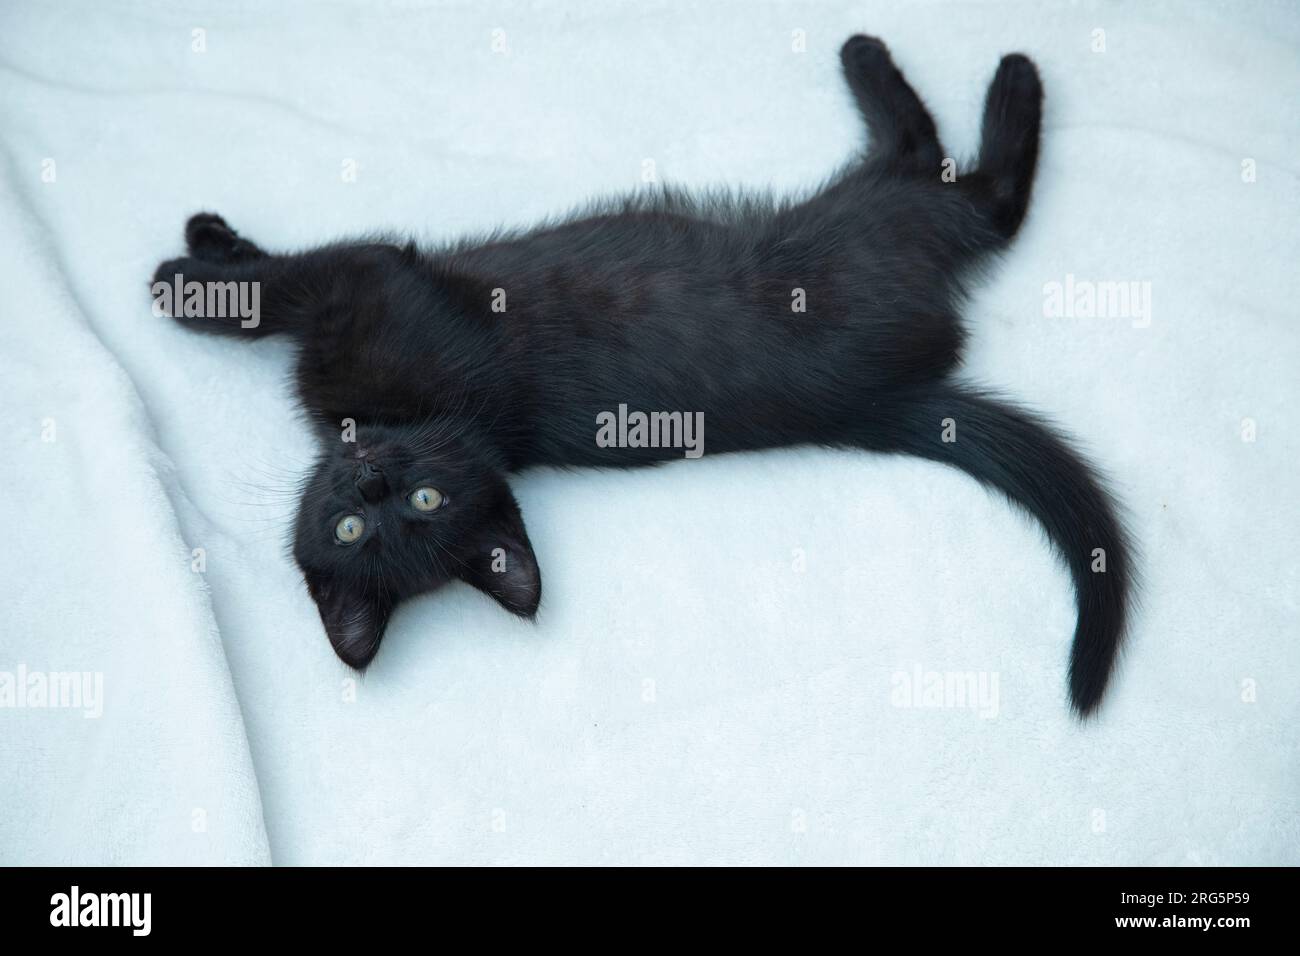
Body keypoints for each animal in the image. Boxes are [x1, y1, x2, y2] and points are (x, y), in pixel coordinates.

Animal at [152, 39, 1128, 717]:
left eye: (424, 502)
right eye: (353, 530)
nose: (368, 480)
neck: (414, 419)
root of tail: (879, 400)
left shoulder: (376, 277)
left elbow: (274, 289)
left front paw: (190, 270)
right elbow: (277, 287)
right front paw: (211, 253)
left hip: (869, 219)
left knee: (968, 188)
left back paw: (955, 69)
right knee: (952, 179)